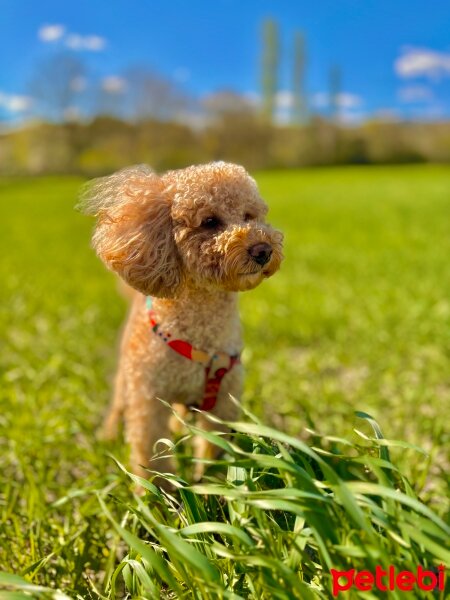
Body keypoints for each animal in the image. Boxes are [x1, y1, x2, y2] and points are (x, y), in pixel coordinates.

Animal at [81, 163, 282, 482]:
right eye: (209, 221)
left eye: (250, 216)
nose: (263, 250)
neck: (200, 332)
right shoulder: (148, 398)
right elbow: (150, 453)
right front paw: (159, 491)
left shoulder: (222, 402)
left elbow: (214, 449)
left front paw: (212, 483)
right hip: (127, 376)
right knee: (117, 404)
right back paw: (108, 435)